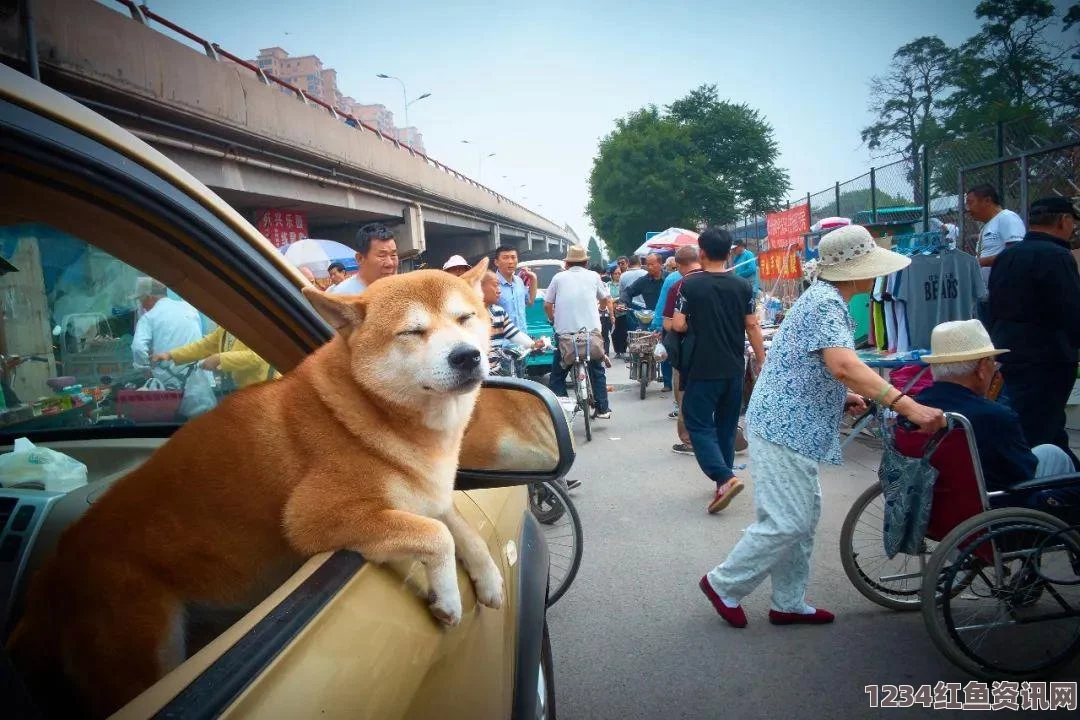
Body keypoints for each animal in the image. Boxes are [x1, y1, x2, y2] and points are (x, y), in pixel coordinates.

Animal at [6, 262, 503, 716]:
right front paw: (448, 597)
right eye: (413, 331)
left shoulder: (427, 492)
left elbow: (458, 525)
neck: (370, 408)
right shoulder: (313, 518)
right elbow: (436, 534)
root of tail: (51, 577)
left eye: (465, 318)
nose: (466, 356)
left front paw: (490, 578)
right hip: (143, 646)